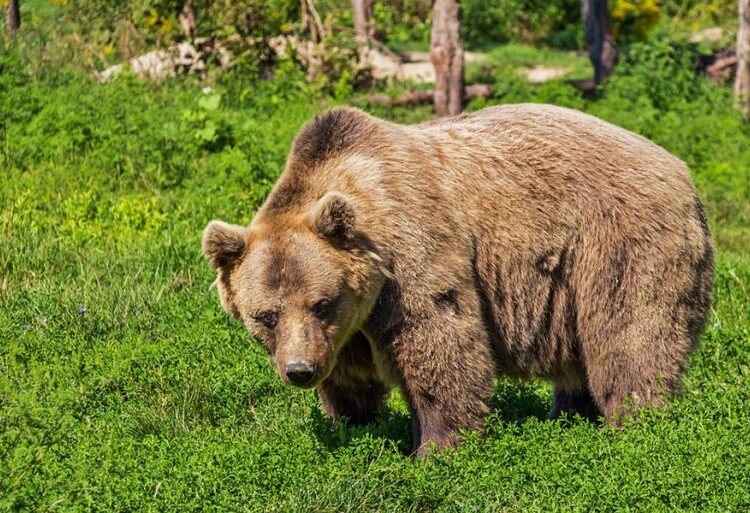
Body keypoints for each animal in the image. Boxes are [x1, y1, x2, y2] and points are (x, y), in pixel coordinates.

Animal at [202, 104, 714, 456]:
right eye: (265, 316)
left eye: (321, 302)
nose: (300, 370)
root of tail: (683, 171)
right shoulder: (345, 329)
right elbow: (349, 378)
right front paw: (355, 424)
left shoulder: (411, 254)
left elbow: (439, 342)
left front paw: (435, 447)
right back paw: (569, 415)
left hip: (619, 243)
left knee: (630, 336)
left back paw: (634, 423)